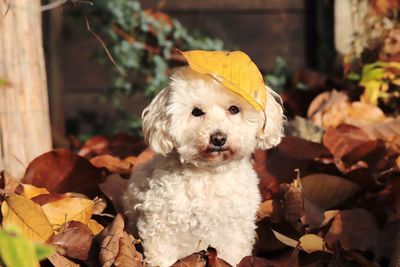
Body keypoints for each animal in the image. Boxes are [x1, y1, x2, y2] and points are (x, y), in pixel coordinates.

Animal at [122, 66, 284, 266]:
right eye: (197, 112)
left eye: (234, 109)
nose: (218, 138)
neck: (209, 174)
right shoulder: (160, 226)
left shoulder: (235, 231)